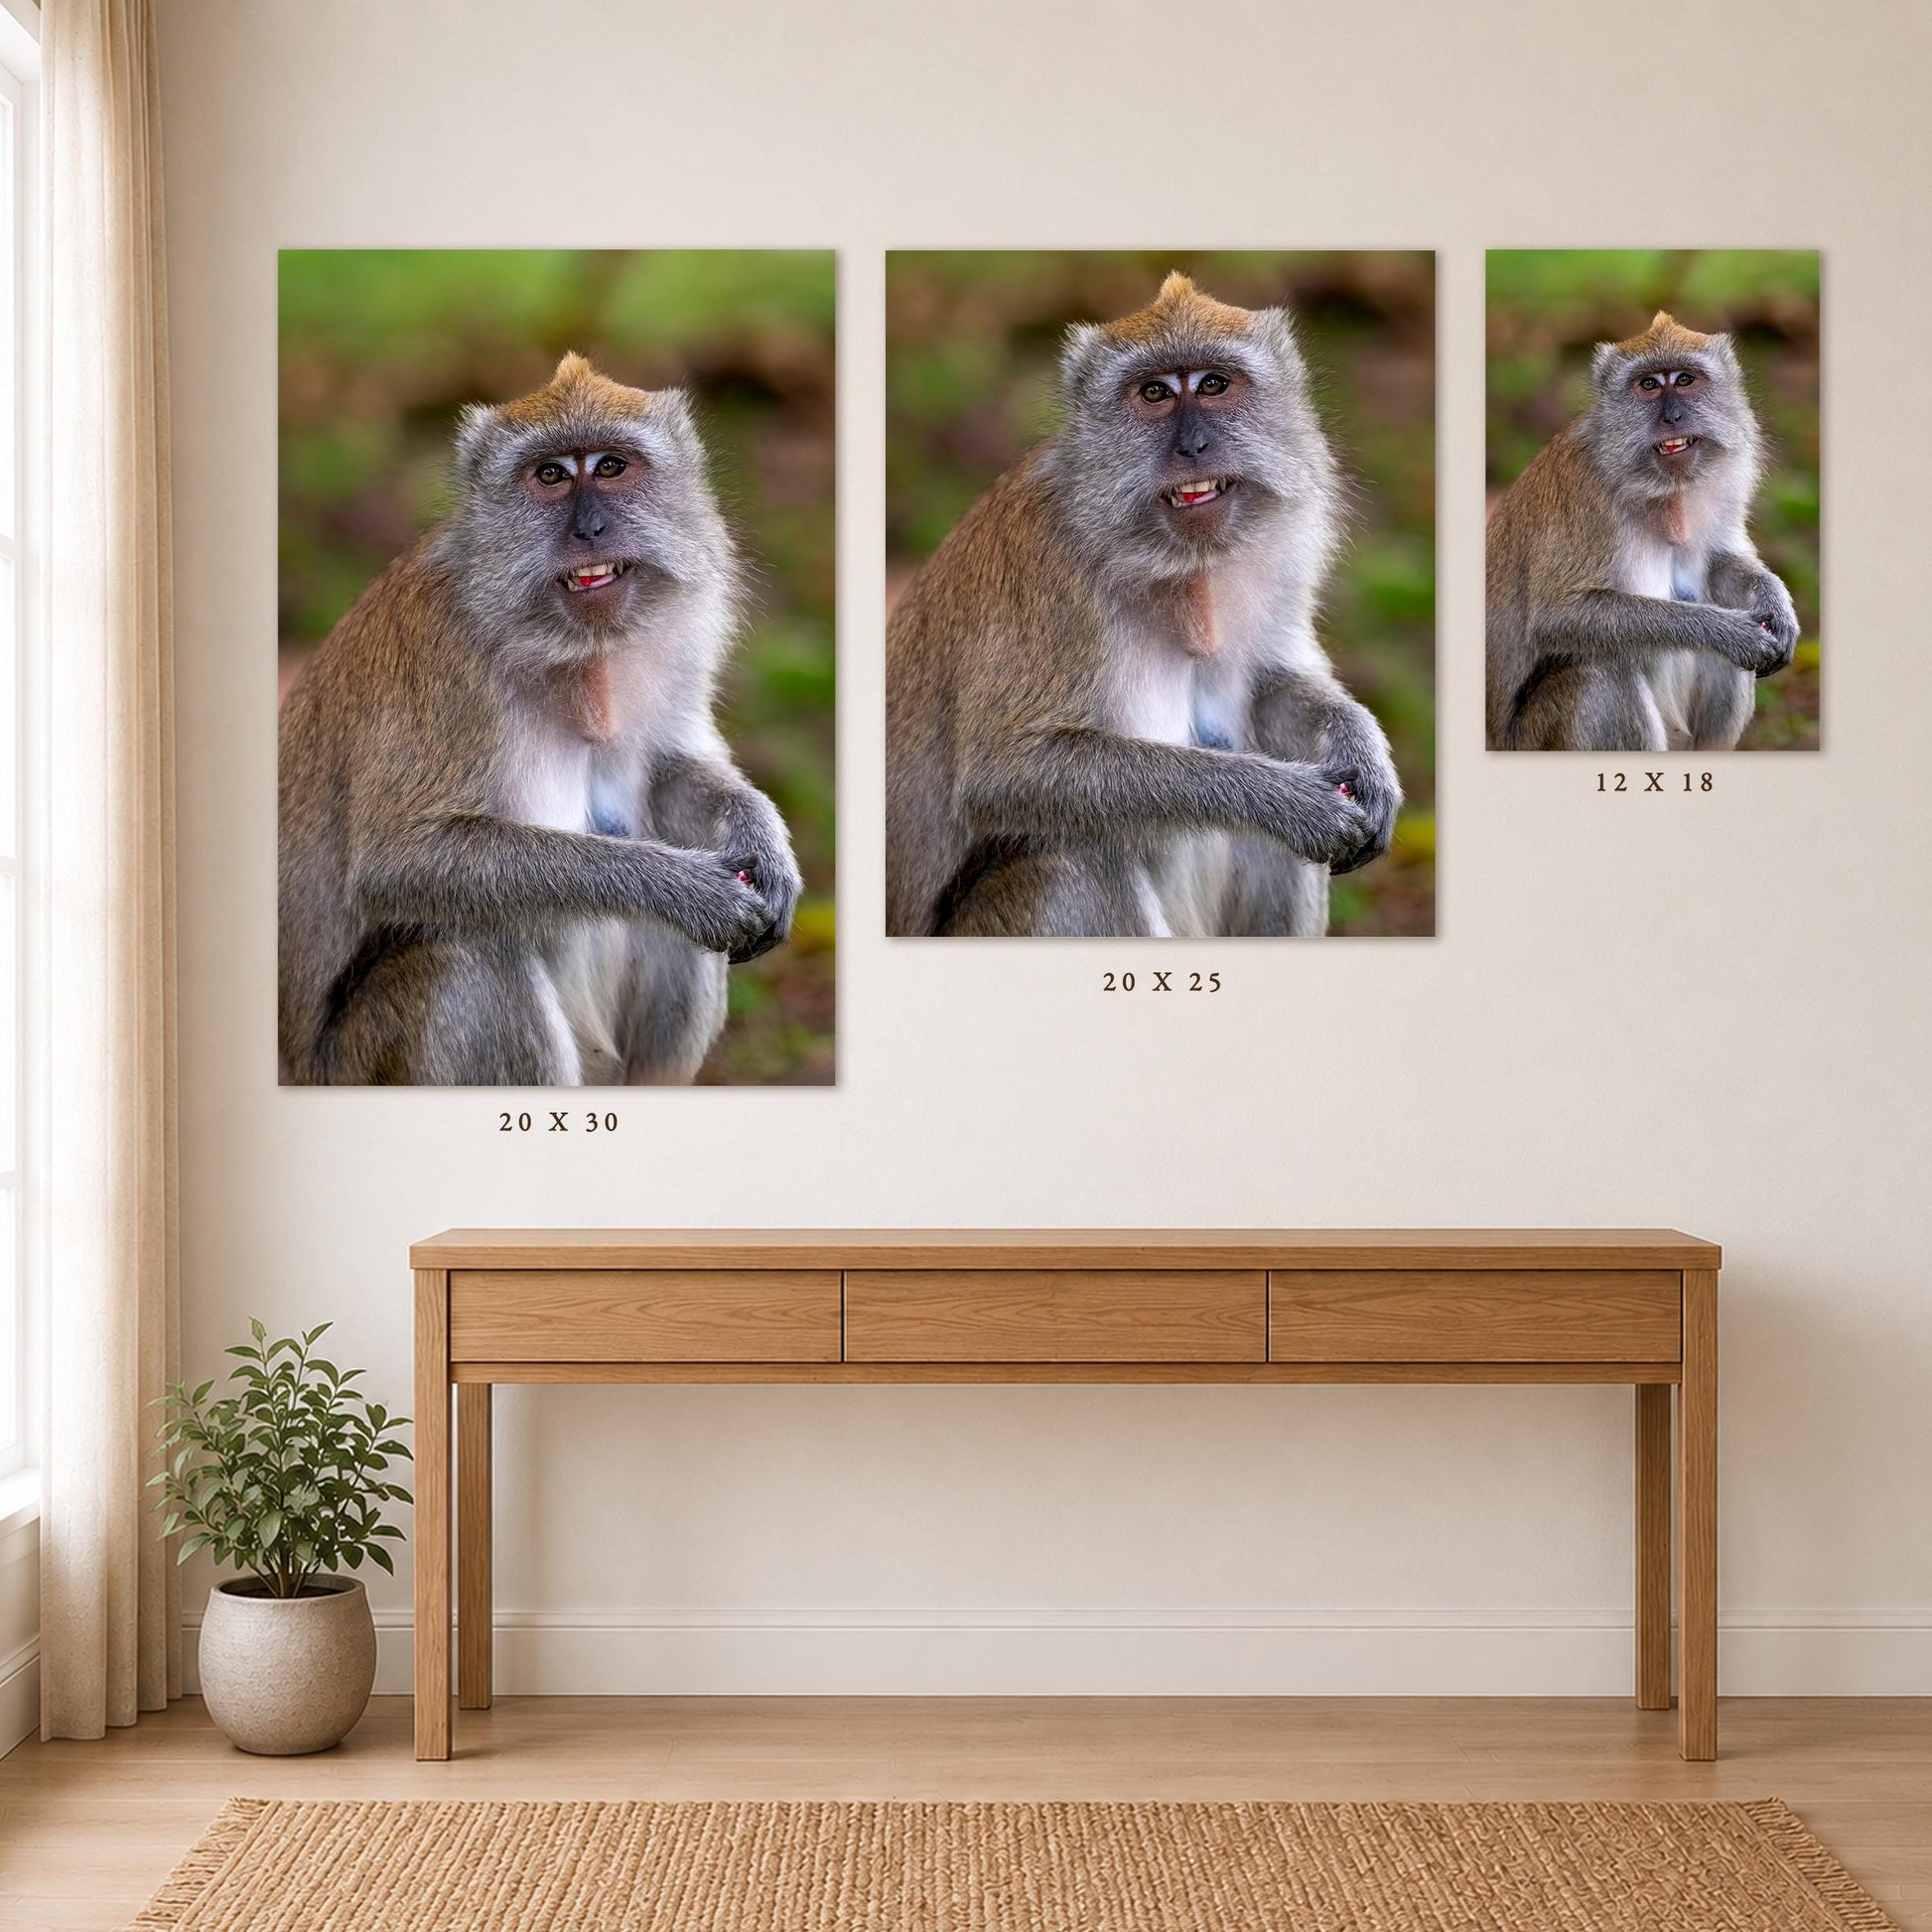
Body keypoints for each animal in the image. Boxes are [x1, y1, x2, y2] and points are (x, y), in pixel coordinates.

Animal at [278, 353, 801, 1086]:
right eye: (550, 475)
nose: (589, 530)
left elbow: (670, 771)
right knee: (467, 950)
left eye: (610, 467)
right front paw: (683, 888)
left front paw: (763, 838)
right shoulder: (447, 661)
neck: (569, 651)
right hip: (356, 1067)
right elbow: (399, 863)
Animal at [885, 273, 1400, 939]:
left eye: (1213, 384)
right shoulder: (1052, 574)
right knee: (1070, 856)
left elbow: (1272, 684)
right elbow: (1006, 773)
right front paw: (1287, 801)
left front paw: (1359, 746)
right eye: (1154, 392)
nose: (1193, 446)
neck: (1174, 565)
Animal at [1486, 311, 1799, 752]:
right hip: (1533, 741)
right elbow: (1559, 617)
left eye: (1684, 379)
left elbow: (1721, 564)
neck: (1662, 491)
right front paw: (1728, 632)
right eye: (1649, 384)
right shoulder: (1587, 495)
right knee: (1600, 671)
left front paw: (1776, 603)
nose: (1672, 418)